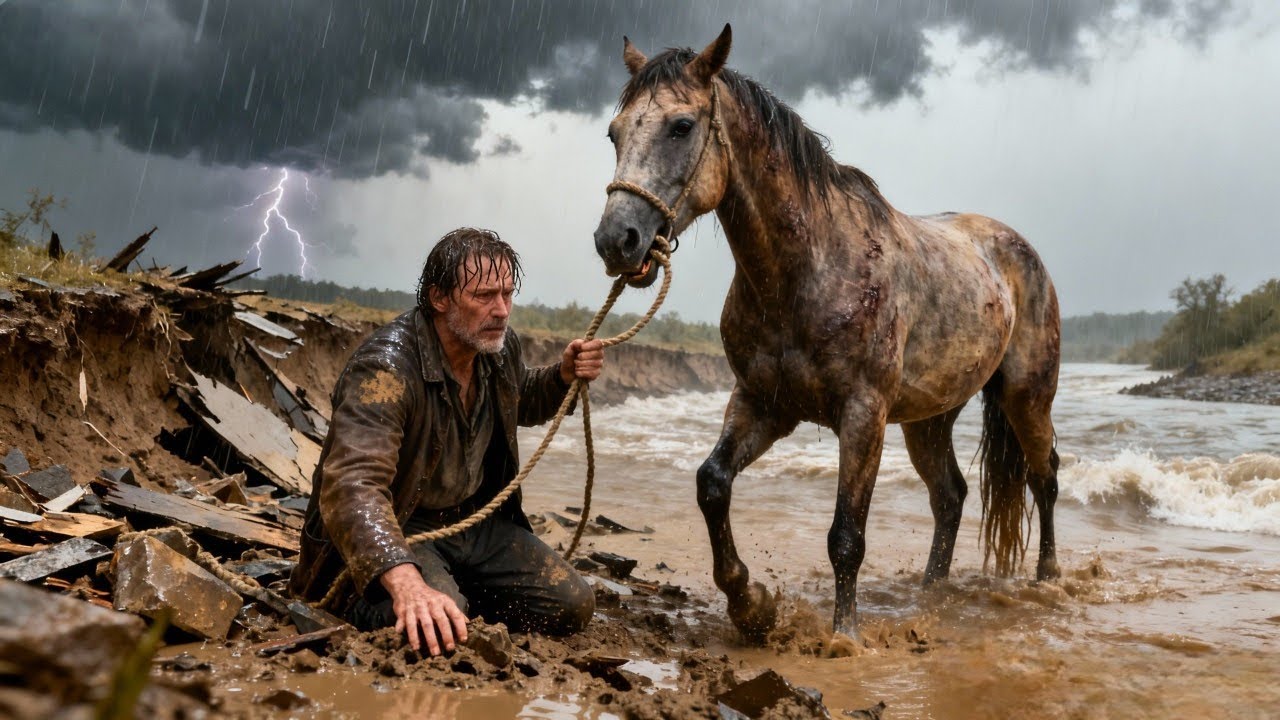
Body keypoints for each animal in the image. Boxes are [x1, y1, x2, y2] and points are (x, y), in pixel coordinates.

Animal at [592, 24, 1062, 641]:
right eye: (614, 132)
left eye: (681, 126)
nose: (617, 240)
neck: (808, 270)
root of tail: (1018, 247)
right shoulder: (763, 402)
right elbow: (712, 483)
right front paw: (750, 604)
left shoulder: (863, 415)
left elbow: (846, 535)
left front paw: (844, 636)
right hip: (930, 419)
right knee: (950, 496)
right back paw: (929, 594)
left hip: (1026, 397)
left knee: (1044, 478)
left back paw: (1049, 578)